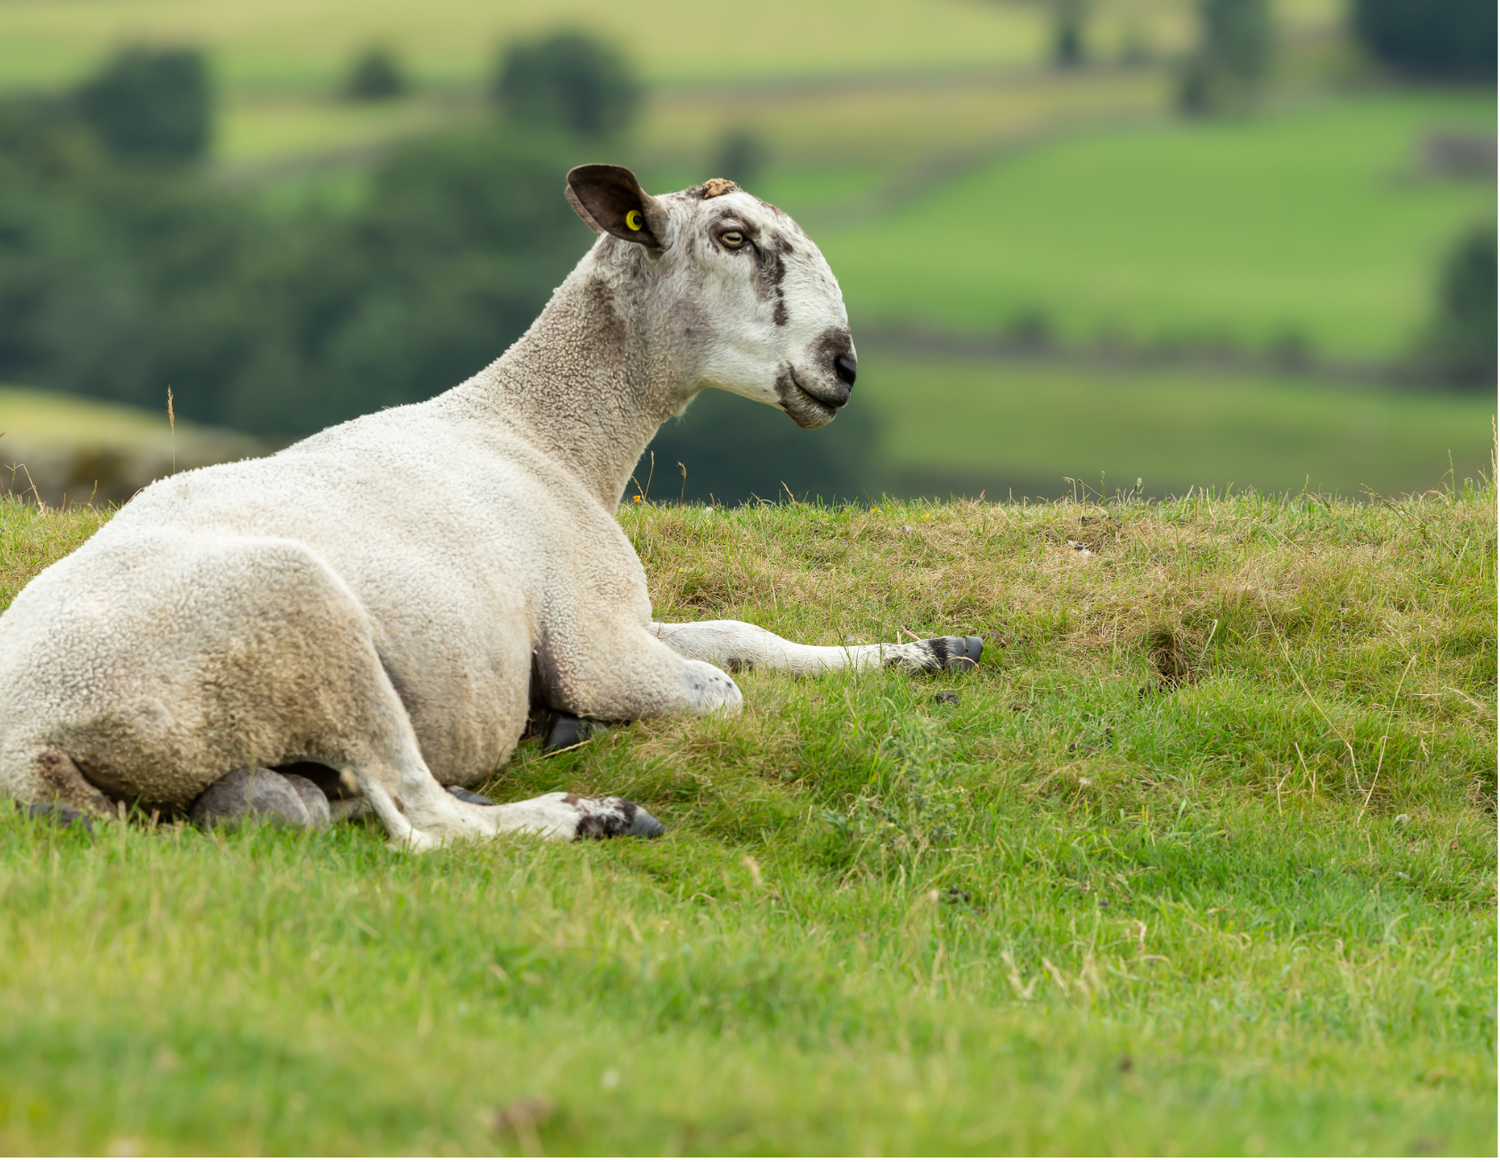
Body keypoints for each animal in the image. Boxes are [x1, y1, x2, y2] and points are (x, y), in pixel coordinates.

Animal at [0, 165, 981, 851]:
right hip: (303, 617)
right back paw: (591, 815)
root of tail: (28, 740)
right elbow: (724, 690)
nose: (842, 367)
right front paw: (579, 732)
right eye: (734, 237)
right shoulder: (592, 641)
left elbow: (748, 636)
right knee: (425, 820)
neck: (544, 434)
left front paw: (924, 651)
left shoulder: (618, 611)